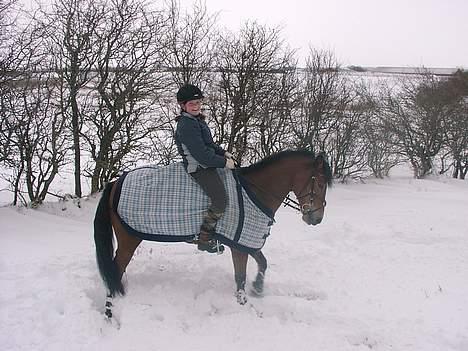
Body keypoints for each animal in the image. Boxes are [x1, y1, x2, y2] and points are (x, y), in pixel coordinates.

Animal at [92, 150, 332, 320]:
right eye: (320, 183)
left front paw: (258, 288)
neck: (254, 191)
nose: (317, 218)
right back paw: (110, 311)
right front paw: (244, 305)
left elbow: (262, 263)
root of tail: (115, 183)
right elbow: (240, 277)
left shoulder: (247, 240)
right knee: (114, 270)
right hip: (129, 241)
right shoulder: (239, 244)